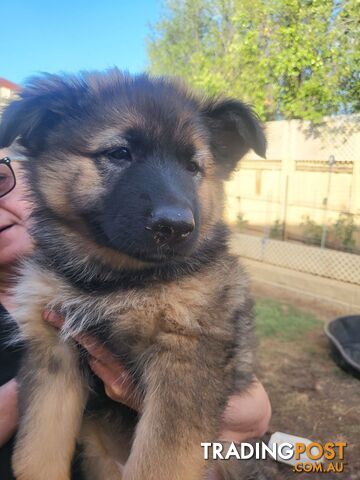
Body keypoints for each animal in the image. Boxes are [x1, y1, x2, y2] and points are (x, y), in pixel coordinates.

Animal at [0, 71, 268, 480]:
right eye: (119, 154)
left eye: (193, 167)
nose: (176, 227)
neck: (112, 279)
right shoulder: (53, 353)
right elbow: (37, 451)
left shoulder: (186, 356)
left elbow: (158, 463)